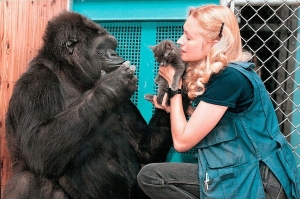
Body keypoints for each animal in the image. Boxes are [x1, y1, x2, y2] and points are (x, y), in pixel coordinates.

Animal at [2, 11, 172, 199]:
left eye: (112, 46)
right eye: (103, 47)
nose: (114, 53)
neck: (69, 73)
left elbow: (145, 150)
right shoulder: (35, 83)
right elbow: (38, 144)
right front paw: (112, 85)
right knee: (30, 179)